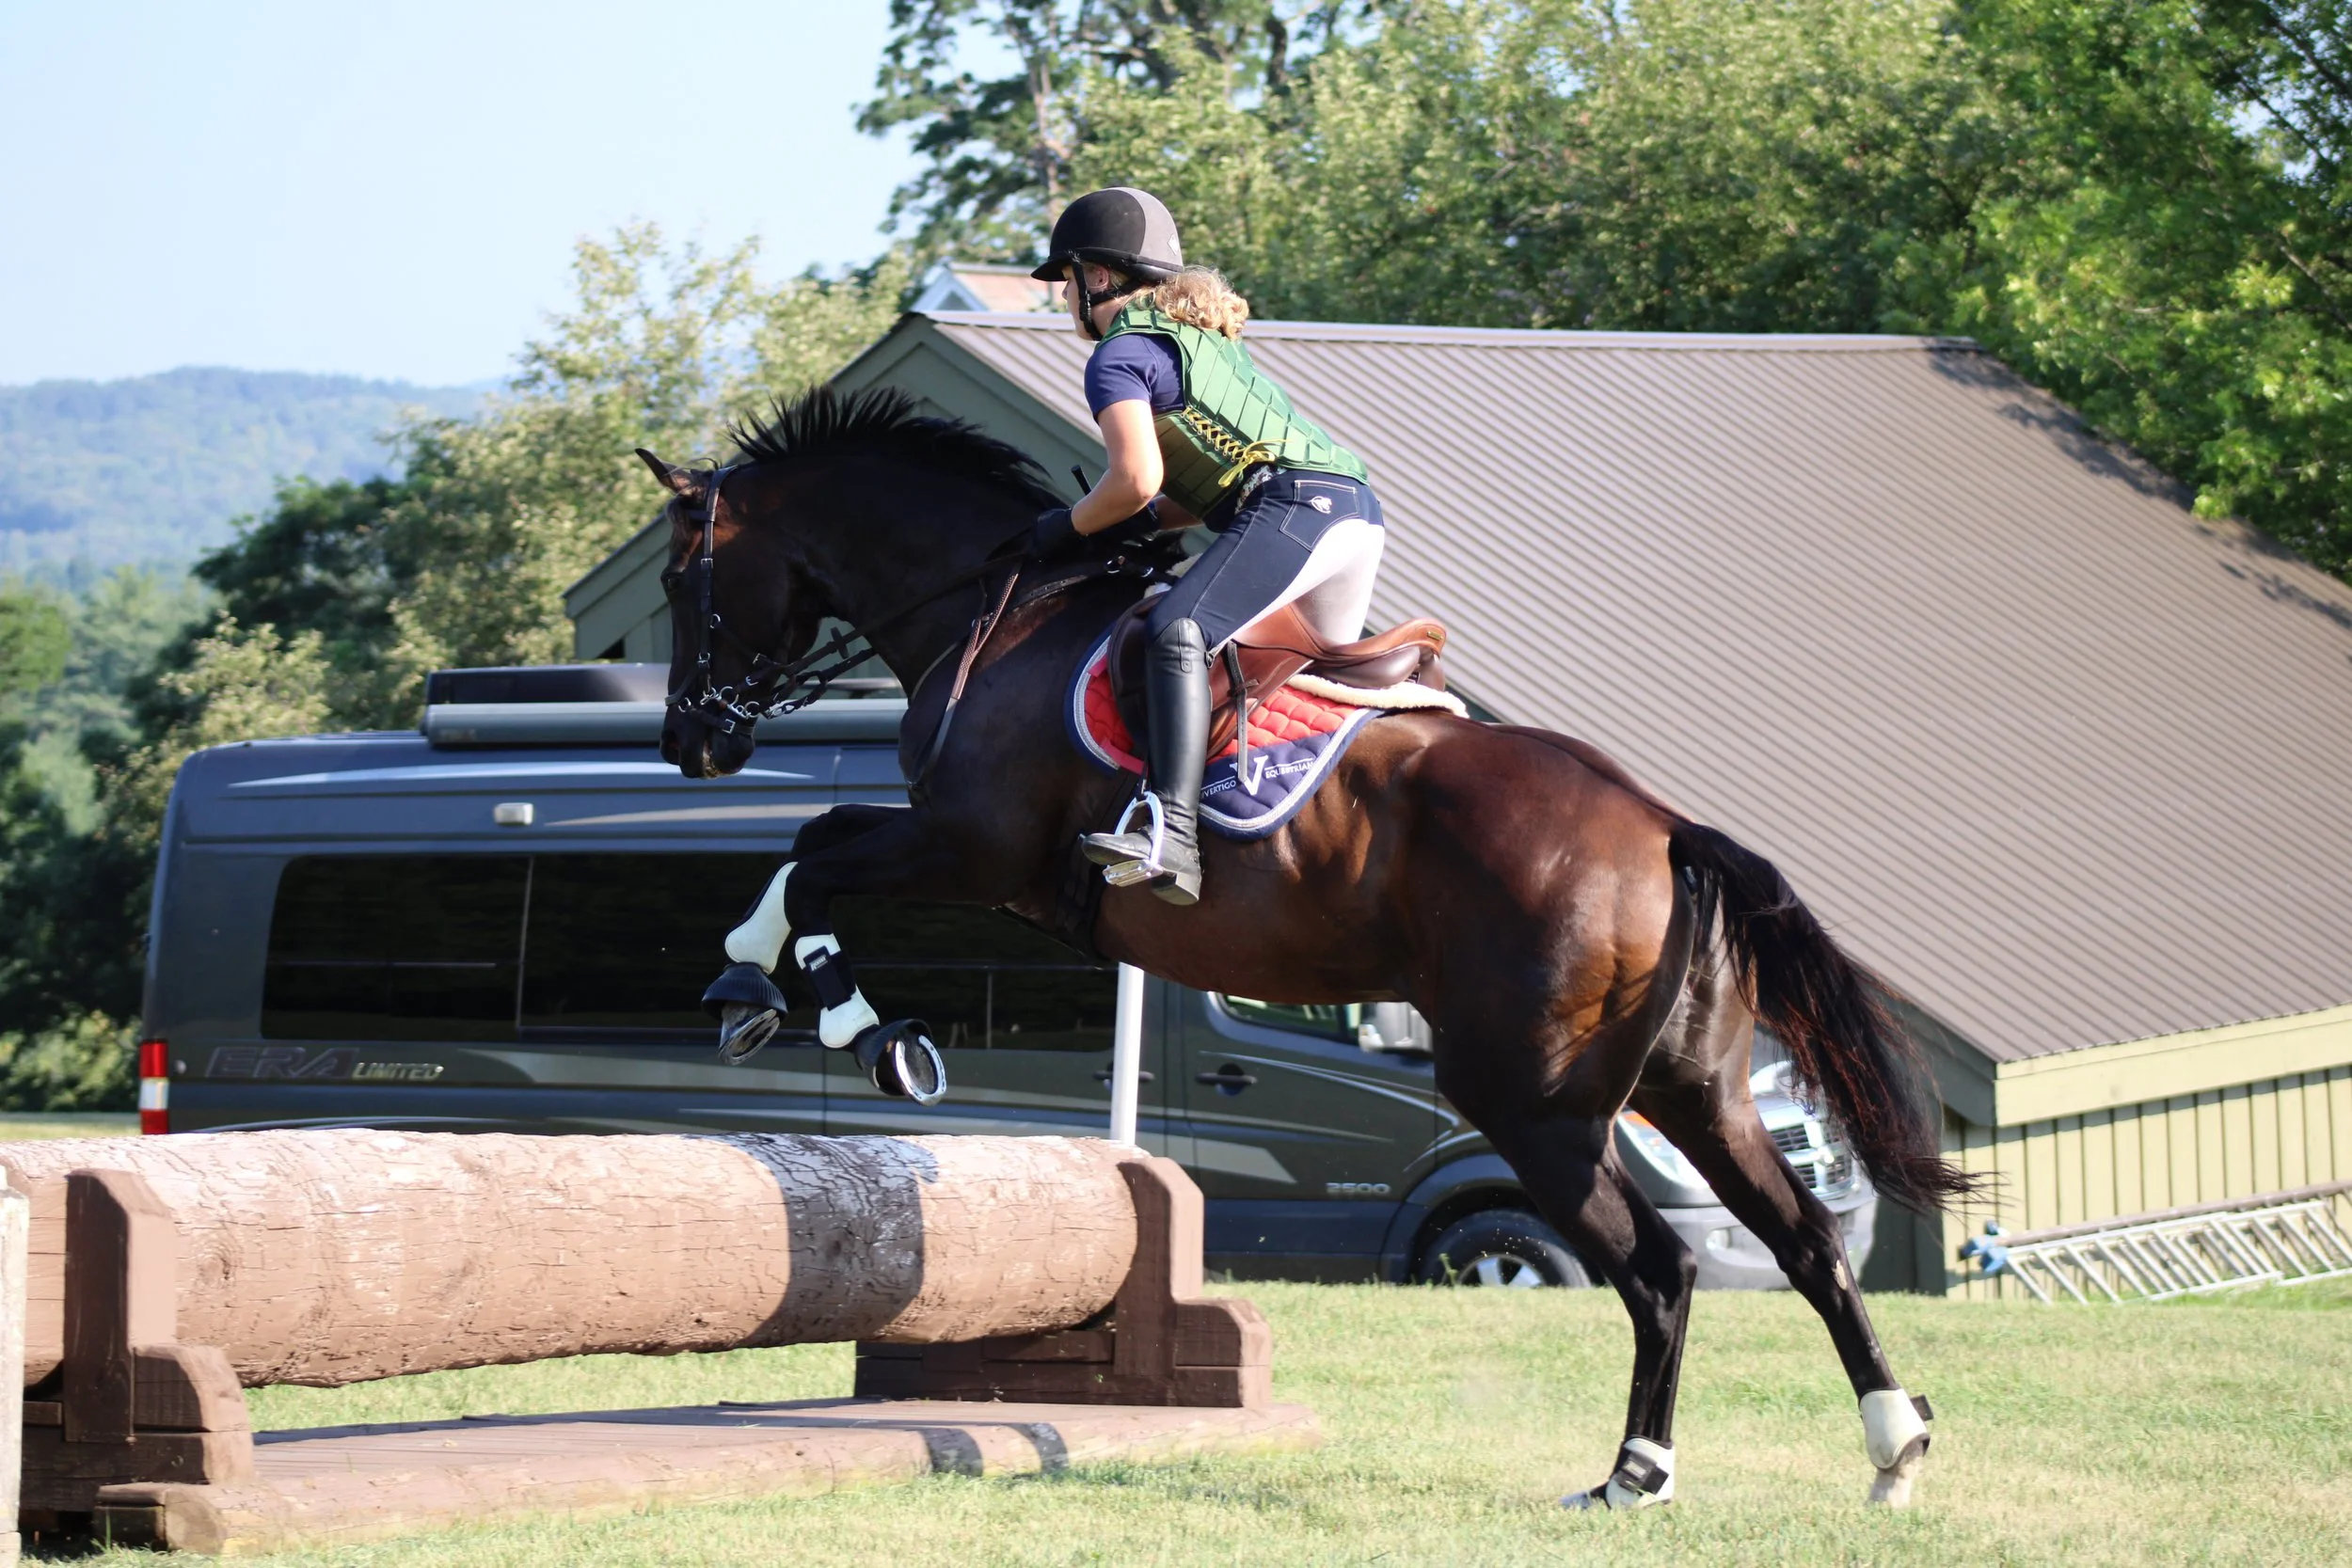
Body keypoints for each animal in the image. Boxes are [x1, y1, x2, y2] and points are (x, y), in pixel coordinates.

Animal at [641, 384, 1973, 1509]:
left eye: (677, 579)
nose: (690, 743)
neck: (997, 610)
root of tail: (1657, 824)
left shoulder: (974, 851)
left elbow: (809, 854)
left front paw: (815, 1011)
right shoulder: (958, 850)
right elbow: (814, 840)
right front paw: (788, 997)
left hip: (1530, 1099)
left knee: (1659, 1269)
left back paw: (1632, 1474)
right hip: (1695, 1087)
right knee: (1807, 1241)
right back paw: (1892, 1446)